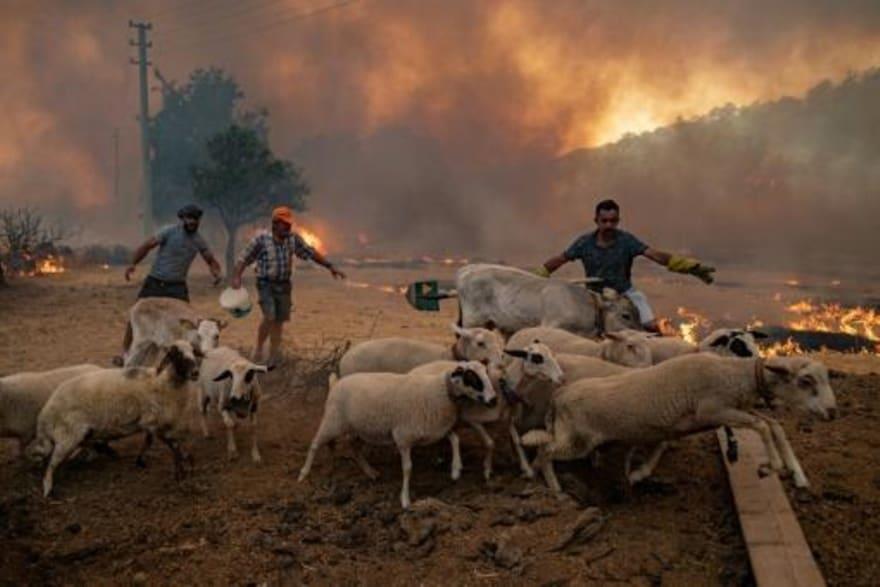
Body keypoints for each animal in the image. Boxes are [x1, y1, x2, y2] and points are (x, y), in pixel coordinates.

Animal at [30, 340, 201, 496]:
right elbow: (173, 445)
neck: (162, 382)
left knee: (82, 446)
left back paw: (104, 451)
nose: (195, 373)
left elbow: (151, 441)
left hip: (80, 433)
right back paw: (48, 489)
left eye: (193, 352)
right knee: (51, 464)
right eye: (176, 354)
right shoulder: (154, 421)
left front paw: (141, 460)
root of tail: (46, 413)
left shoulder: (149, 421)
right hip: (68, 434)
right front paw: (182, 470)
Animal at [300, 360, 496, 508]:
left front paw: (456, 470)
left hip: (361, 427)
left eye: (486, 373)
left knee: (352, 446)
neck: (439, 391)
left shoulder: (433, 429)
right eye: (471, 377)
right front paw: (405, 500)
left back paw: (370, 472)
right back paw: (303, 475)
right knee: (315, 444)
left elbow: (455, 439)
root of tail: (336, 382)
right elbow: (408, 468)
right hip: (332, 420)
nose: (493, 400)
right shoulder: (404, 437)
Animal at [524, 354, 840, 496]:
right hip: (577, 439)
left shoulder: (724, 412)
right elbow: (762, 427)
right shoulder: (714, 411)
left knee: (544, 450)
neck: (734, 376)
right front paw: (768, 467)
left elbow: (772, 425)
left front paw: (796, 474)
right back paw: (553, 488)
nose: (833, 412)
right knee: (545, 452)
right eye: (805, 381)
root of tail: (560, 395)